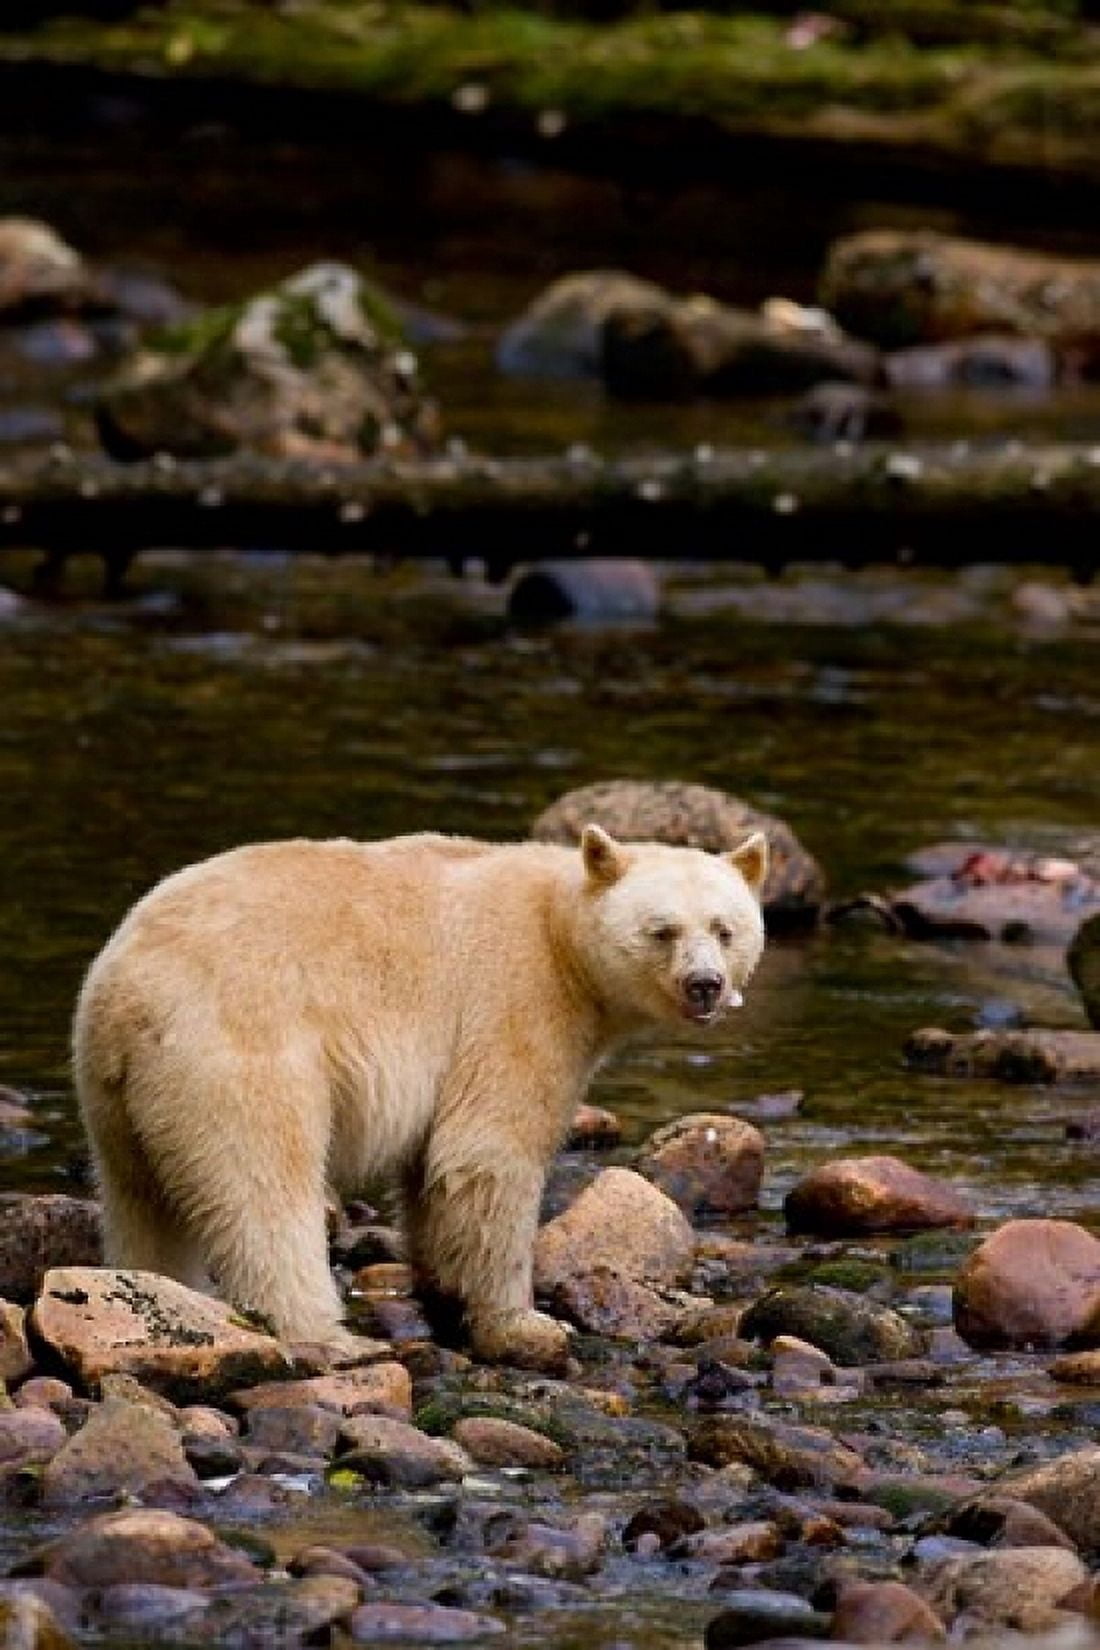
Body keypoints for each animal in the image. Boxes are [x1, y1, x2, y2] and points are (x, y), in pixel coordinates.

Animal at [73, 823, 767, 1372]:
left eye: (725, 929)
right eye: (662, 930)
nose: (704, 984)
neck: (561, 934)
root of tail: (125, 991)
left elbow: (434, 1174)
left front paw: (446, 1299)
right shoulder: (515, 1002)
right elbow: (488, 1155)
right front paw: (526, 1326)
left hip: (120, 1094)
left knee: (142, 1203)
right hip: (239, 1048)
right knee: (263, 1187)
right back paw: (329, 1337)